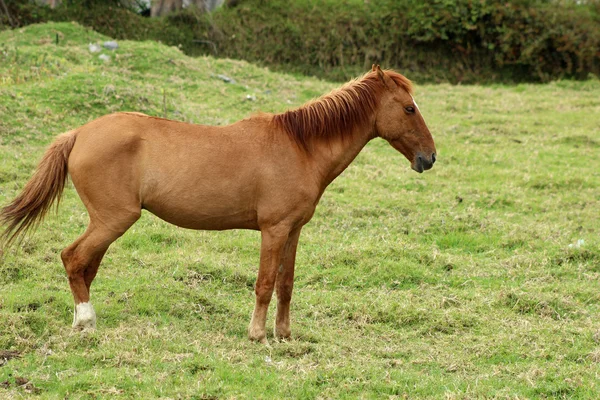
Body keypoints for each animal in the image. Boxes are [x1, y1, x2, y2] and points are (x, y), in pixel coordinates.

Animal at [0, 65, 436, 344]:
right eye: (409, 108)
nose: (429, 158)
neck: (300, 146)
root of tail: (78, 133)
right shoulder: (273, 230)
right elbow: (265, 284)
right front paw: (257, 335)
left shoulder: (293, 230)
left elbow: (287, 284)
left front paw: (285, 335)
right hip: (113, 220)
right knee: (73, 259)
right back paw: (86, 323)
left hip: (107, 224)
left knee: (85, 266)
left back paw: (84, 321)